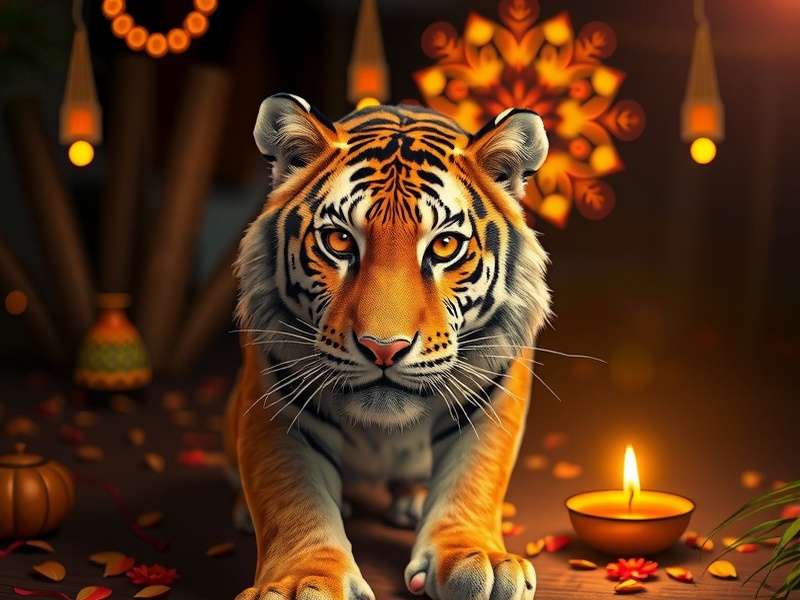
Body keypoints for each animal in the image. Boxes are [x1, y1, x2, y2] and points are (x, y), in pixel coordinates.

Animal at [224, 93, 551, 600]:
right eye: (339, 241)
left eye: (445, 246)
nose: (383, 349)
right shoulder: (275, 395)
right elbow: (291, 496)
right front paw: (304, 581)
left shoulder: (495, 390)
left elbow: (476, 475)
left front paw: (477, 559)